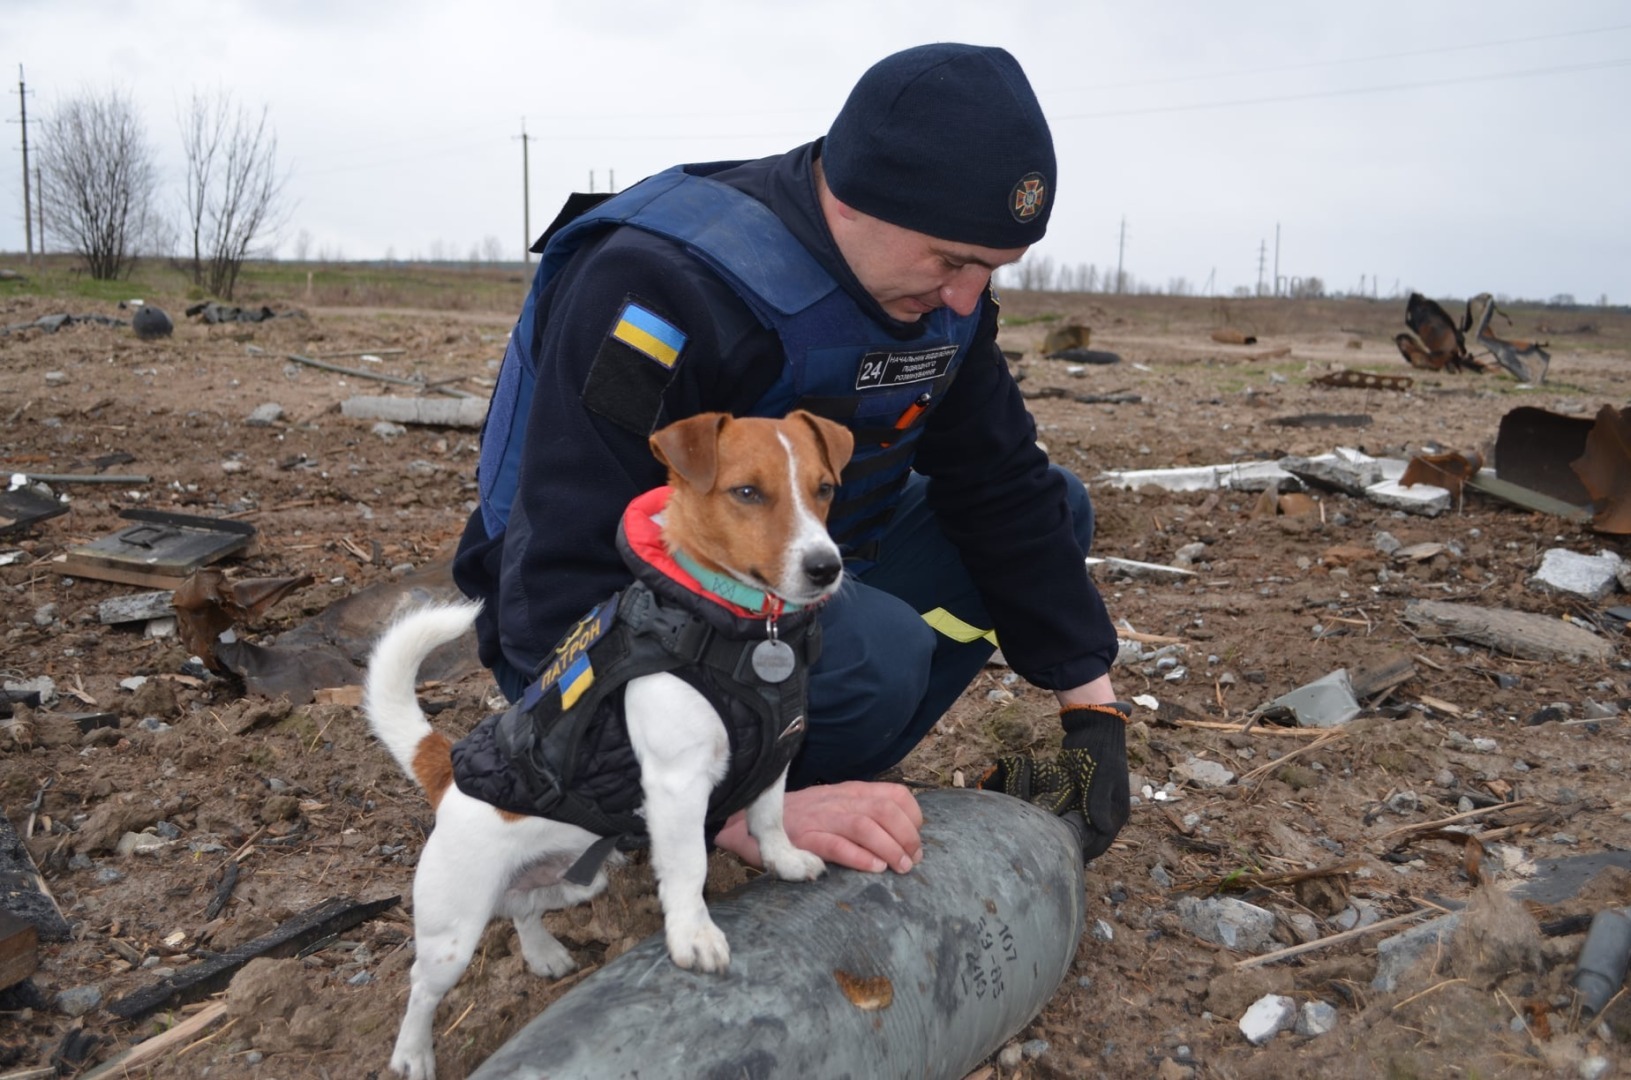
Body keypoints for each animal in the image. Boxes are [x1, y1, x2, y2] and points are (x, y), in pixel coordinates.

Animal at [365, 412, 861, 1080]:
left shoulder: (779, 750)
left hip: (578, 880)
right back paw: (413, 1052)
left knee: (524, 906)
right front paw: (693, 936)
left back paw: (543, 952)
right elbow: (689, 866)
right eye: (747, 493)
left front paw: (783, 860)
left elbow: (770, 816)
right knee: (422, 985)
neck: (748, 631)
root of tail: (447, 774)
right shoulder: (677, 786)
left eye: (824, 488)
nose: (825, 567)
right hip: (453, 929)